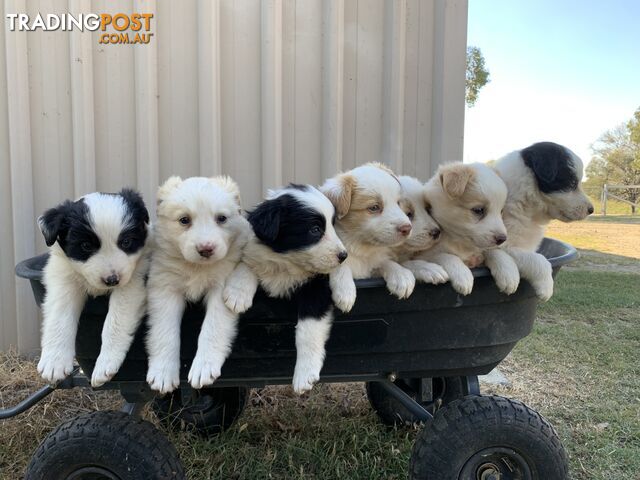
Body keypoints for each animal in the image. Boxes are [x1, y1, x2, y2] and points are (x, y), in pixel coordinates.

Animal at [37, 189, 151, 388]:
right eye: (86, 246)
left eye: (126, 242)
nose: (112, 280)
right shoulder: (64, 279)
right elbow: (59, 317)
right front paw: (54, 362)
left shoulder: (133, 282)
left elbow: (115, 321)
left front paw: (105, 365)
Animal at [146, 176, 252, 394]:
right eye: (184, 220)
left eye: (222, 218)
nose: (206, 249)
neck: (197, 268)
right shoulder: (164, 288)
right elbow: (165, 331)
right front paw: (163, 373)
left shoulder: (221, 287)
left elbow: (212, 328)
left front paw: (204, 367)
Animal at [222, 184, 348, 394]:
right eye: (315, 230)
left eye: (333, 225)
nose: (344, 256)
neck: (286, 262)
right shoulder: (256, 254)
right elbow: (247, 264)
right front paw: (237, 294)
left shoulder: (316, 287)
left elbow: (307, 330)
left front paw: (305, 374)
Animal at [320, 163, 416, 314]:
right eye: (374, 207)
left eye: (398, 203)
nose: (407, 228)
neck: (361, 247)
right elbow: (340, 265)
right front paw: (345, 291)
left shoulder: (374, 266)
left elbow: (386, 262)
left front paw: (401, 276)